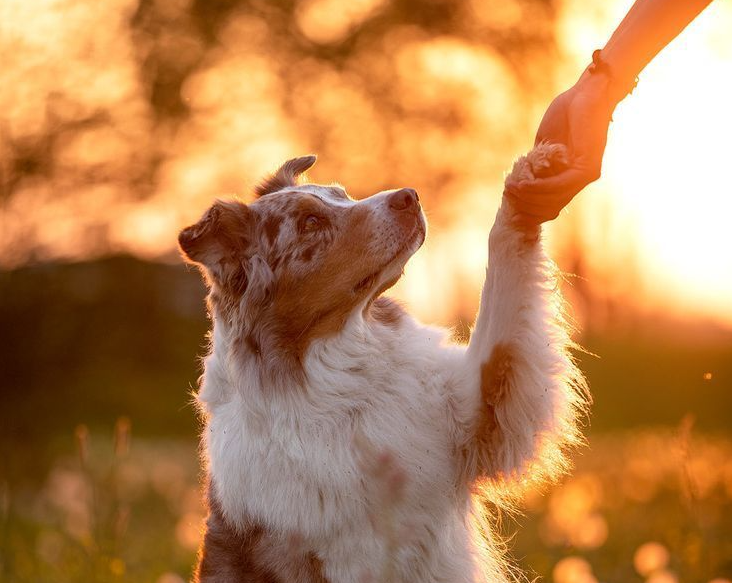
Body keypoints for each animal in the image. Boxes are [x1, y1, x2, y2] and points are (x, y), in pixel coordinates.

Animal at [180, 143, 592, 583]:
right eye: (310, 222)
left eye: (342, 195)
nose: (409, 196)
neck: (348, 383)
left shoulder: (478, 411)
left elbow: (504, 269)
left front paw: (528, 181)